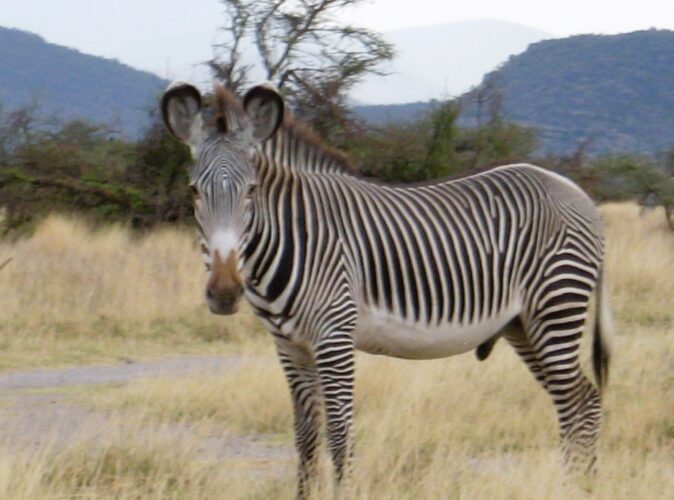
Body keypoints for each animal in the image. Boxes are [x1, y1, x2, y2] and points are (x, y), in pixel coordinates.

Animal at [161, 82, 612, 496]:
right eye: (194, 191)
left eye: (251, 191)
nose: (224, 292)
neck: (295, 234)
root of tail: (577, 192)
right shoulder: (290, 346)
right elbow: (305, 438)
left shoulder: (334, 336)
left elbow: (339, 434)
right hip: (524, 325)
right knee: (577, 402)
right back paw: (577, 486)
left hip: (557, 306)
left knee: (581, 402)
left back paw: (579, 488)